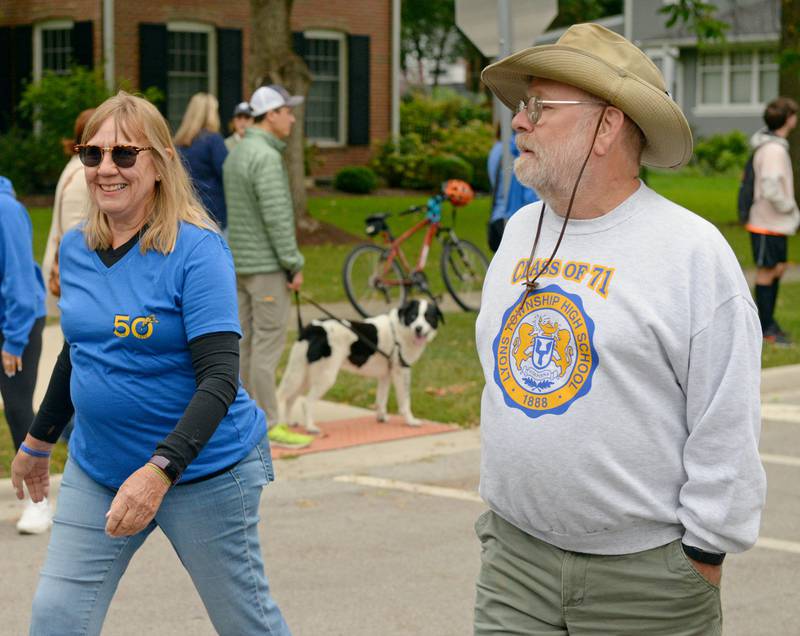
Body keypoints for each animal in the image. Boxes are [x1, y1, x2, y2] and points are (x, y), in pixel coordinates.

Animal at [278, 300, 444, 434]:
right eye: (413, 316)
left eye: (428, 317)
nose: (418, 328)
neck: (399, 329)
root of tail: (314, 328)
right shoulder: (401, 372)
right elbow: (405, 402)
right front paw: (410, 421)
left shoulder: (385, 375)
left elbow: (381, 399)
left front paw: (381, 418)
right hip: (324, 376)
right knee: (305, 402)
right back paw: (310, 427)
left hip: (302, 373)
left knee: (288, 397)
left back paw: (287, 423)